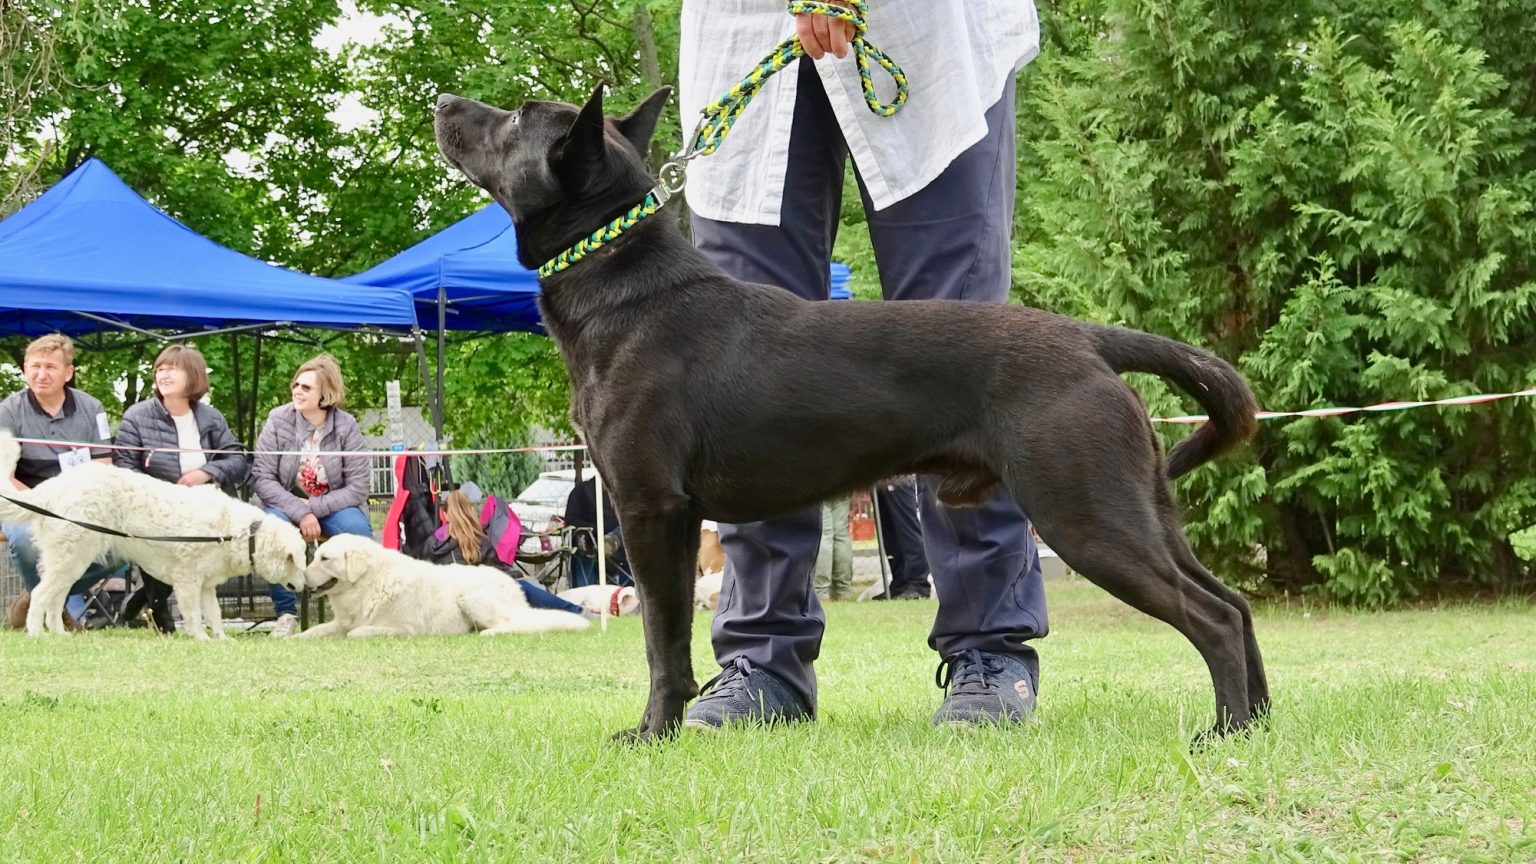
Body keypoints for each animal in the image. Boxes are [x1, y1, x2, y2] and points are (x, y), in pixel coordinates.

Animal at [0, 427, 308, 636]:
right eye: (296, 562)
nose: (308, 586)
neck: (241, 533)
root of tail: (55, 486)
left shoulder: (207, 585)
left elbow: (214, 613)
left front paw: (221, 639)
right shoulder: (187, 580)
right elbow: (194, 615)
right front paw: (201, 639)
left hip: (72, 562)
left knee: (55, 598)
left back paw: (59, 634)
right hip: (71, 557)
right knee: (41, 595)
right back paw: (37, 633)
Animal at [296, 531, 589, 633]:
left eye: (324, 558)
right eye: (316, 556)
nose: (301, 577)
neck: (367, 584)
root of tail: (515, 585)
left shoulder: (401, 629)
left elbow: (355, 633)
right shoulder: (341, 623)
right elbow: (314, 632)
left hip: (471, 597)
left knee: (508, 626)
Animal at [433, 84, 1259, 737]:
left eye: (516, 119)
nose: (442, 103)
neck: (626, 288)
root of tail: (1087, 338)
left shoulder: (649, 509)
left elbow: (662, 645)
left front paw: (652, 733)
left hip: (1085, 515)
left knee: (1212, 616)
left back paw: (1222, 732)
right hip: (1139, 510)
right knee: (1235, 603)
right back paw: (1255, 725)